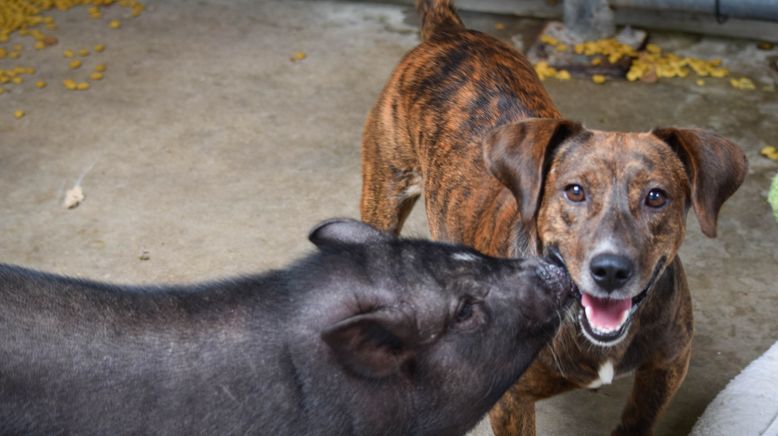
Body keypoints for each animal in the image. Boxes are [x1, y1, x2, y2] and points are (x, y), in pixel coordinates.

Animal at [358, 0, 744, 436]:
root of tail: (449, 32)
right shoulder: (511, 400)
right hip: (384, 191)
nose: (611, 271)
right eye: (574, 190)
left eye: (656, 197)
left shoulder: (668, 365)